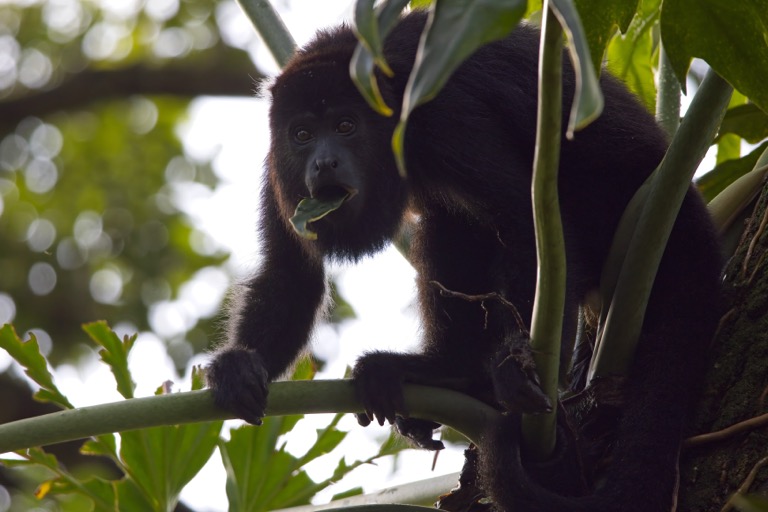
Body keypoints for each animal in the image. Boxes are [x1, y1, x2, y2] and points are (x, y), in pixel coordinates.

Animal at [207, 9, 724, 512]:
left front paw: (518, 363)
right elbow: (290, 273)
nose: (323, 162)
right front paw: (240, 364)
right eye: (301, 134)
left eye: (345, 127)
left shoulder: (442, 116)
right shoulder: (277, 165)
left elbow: (524, 219)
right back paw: (441, 371)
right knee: (449, 222)